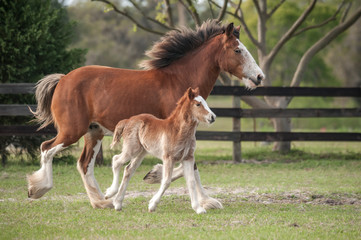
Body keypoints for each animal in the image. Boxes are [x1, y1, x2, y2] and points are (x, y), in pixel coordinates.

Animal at [28, 20, 262, 208]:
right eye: (238, 50)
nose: (259, 77)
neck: (177, 81)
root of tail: (63, 79)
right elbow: (191, 167)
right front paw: (207, 201)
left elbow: (185, 166)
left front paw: (153, 175)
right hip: (72, 131)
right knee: (47, 149)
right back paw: (38, 189)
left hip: (93, 132)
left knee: (84, 164)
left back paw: (102, 201)